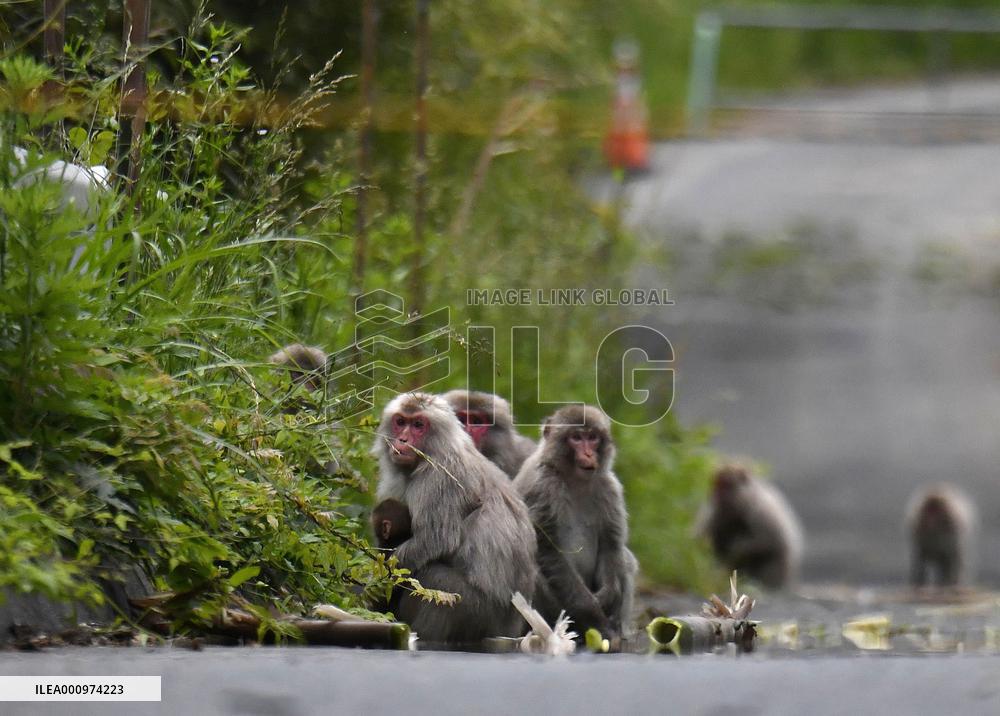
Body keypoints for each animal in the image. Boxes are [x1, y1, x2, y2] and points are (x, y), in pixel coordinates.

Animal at [373, 392, 538, 643]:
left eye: (419, 425)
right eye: (400, 422)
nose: (402, 440)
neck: (434, 451)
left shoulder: (439, 478)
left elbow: (436, 540)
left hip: (478, 613)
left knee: (435, 577)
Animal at [513, 404, 638, 647]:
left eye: (592, 437)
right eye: (576, 438)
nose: (588, 454)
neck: (574, 479)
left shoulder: (610, 488)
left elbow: (610, 545)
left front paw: (607, 596)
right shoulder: (543, 488)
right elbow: (548, 550)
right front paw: (592, 611)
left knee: (624, 559)